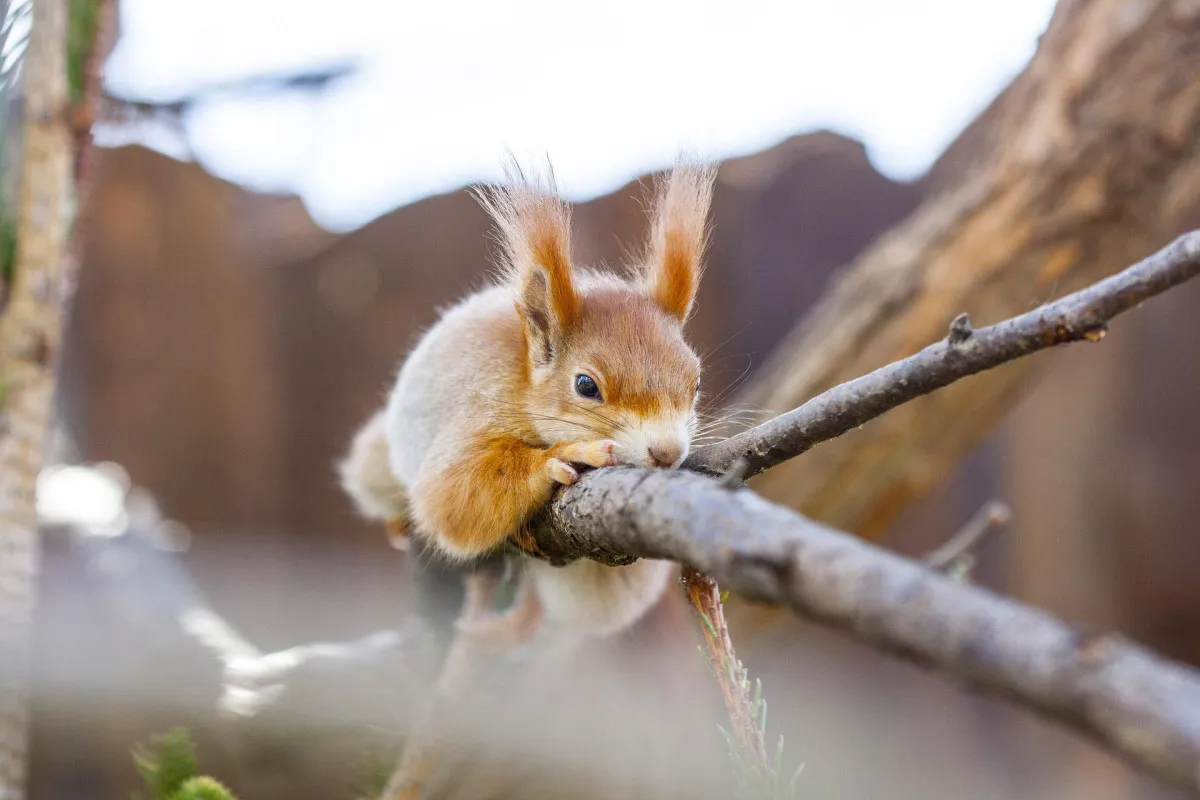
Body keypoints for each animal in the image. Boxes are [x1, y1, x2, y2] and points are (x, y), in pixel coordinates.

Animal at [338, 159, 710, 647]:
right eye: (586, 385)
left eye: (697, 381)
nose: (667, 452)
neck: (524, 386)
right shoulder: (478, 403)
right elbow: (450, 496)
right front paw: (559, 458)